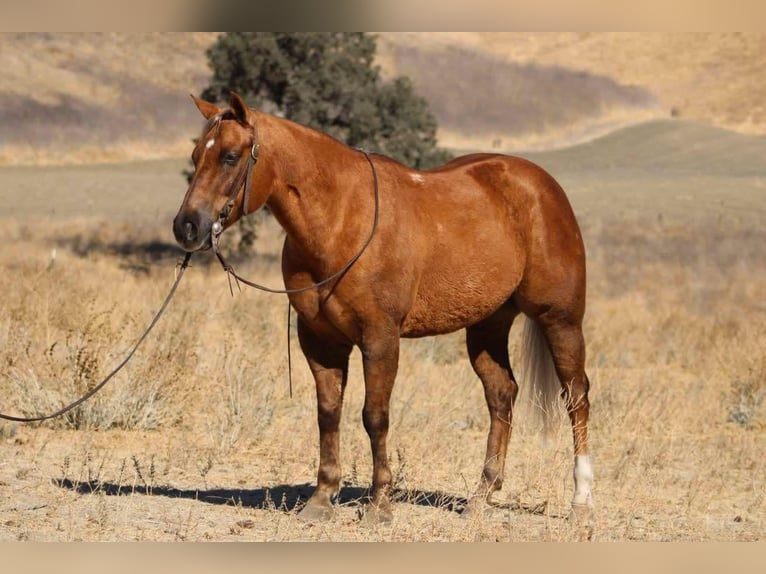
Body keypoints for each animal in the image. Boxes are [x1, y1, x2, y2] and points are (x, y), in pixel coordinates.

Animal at [173, 92, 593, 524]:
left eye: (230, 156)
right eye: (195, 155)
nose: (187, 227)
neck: (341, 220)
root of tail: (542, 185)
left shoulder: (380, 339)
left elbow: (375, 416)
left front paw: (379, 503)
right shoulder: (320, 342)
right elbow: (328, 413)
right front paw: (322, 498)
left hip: (560, 320)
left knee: (576, 396)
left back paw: (581, 499)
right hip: (487, 325)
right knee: (501, 395)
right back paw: (482, 496)